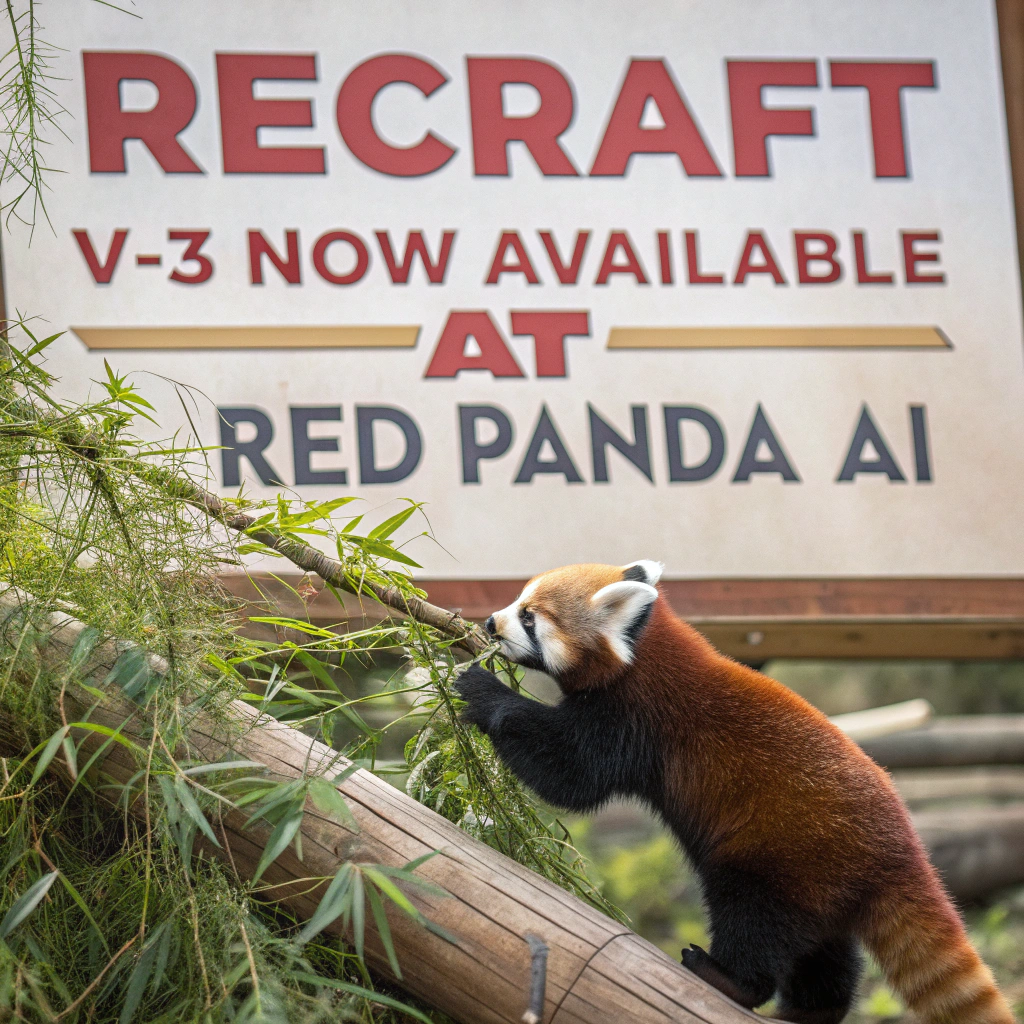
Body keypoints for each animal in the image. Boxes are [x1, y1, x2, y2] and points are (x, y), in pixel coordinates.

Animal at [454, 560, 1014, 1024]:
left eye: (529, 618)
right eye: (517, 602)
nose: (491, 623)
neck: (647, 652)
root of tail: (902, 847)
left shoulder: (636, 720)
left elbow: (571, 775)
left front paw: (480, 689)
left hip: (780, 858)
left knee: (753, 922)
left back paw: (728, 979)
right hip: (823, 889)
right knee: (826, 957)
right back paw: (808, 1012)